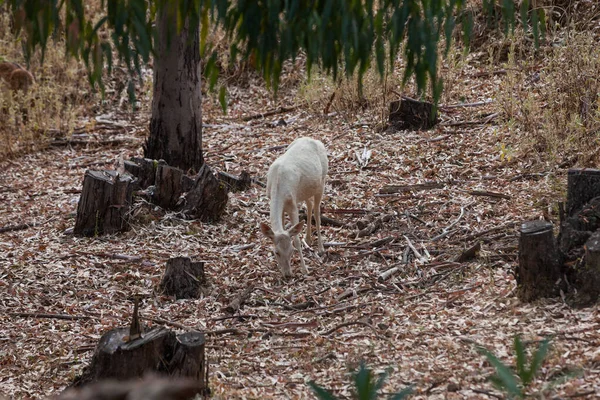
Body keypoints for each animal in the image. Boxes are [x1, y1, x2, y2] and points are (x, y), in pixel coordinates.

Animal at [262, 138, 330, 278]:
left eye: (291, 250)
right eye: (276, 252)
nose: (287, 275)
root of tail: (315, 140)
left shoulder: (292, 205)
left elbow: (296, 238)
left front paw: (305, 270)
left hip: (322, 181)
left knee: (317, 211)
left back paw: (321, 248)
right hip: (305, 190)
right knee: (309, 205)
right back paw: (308, 239)